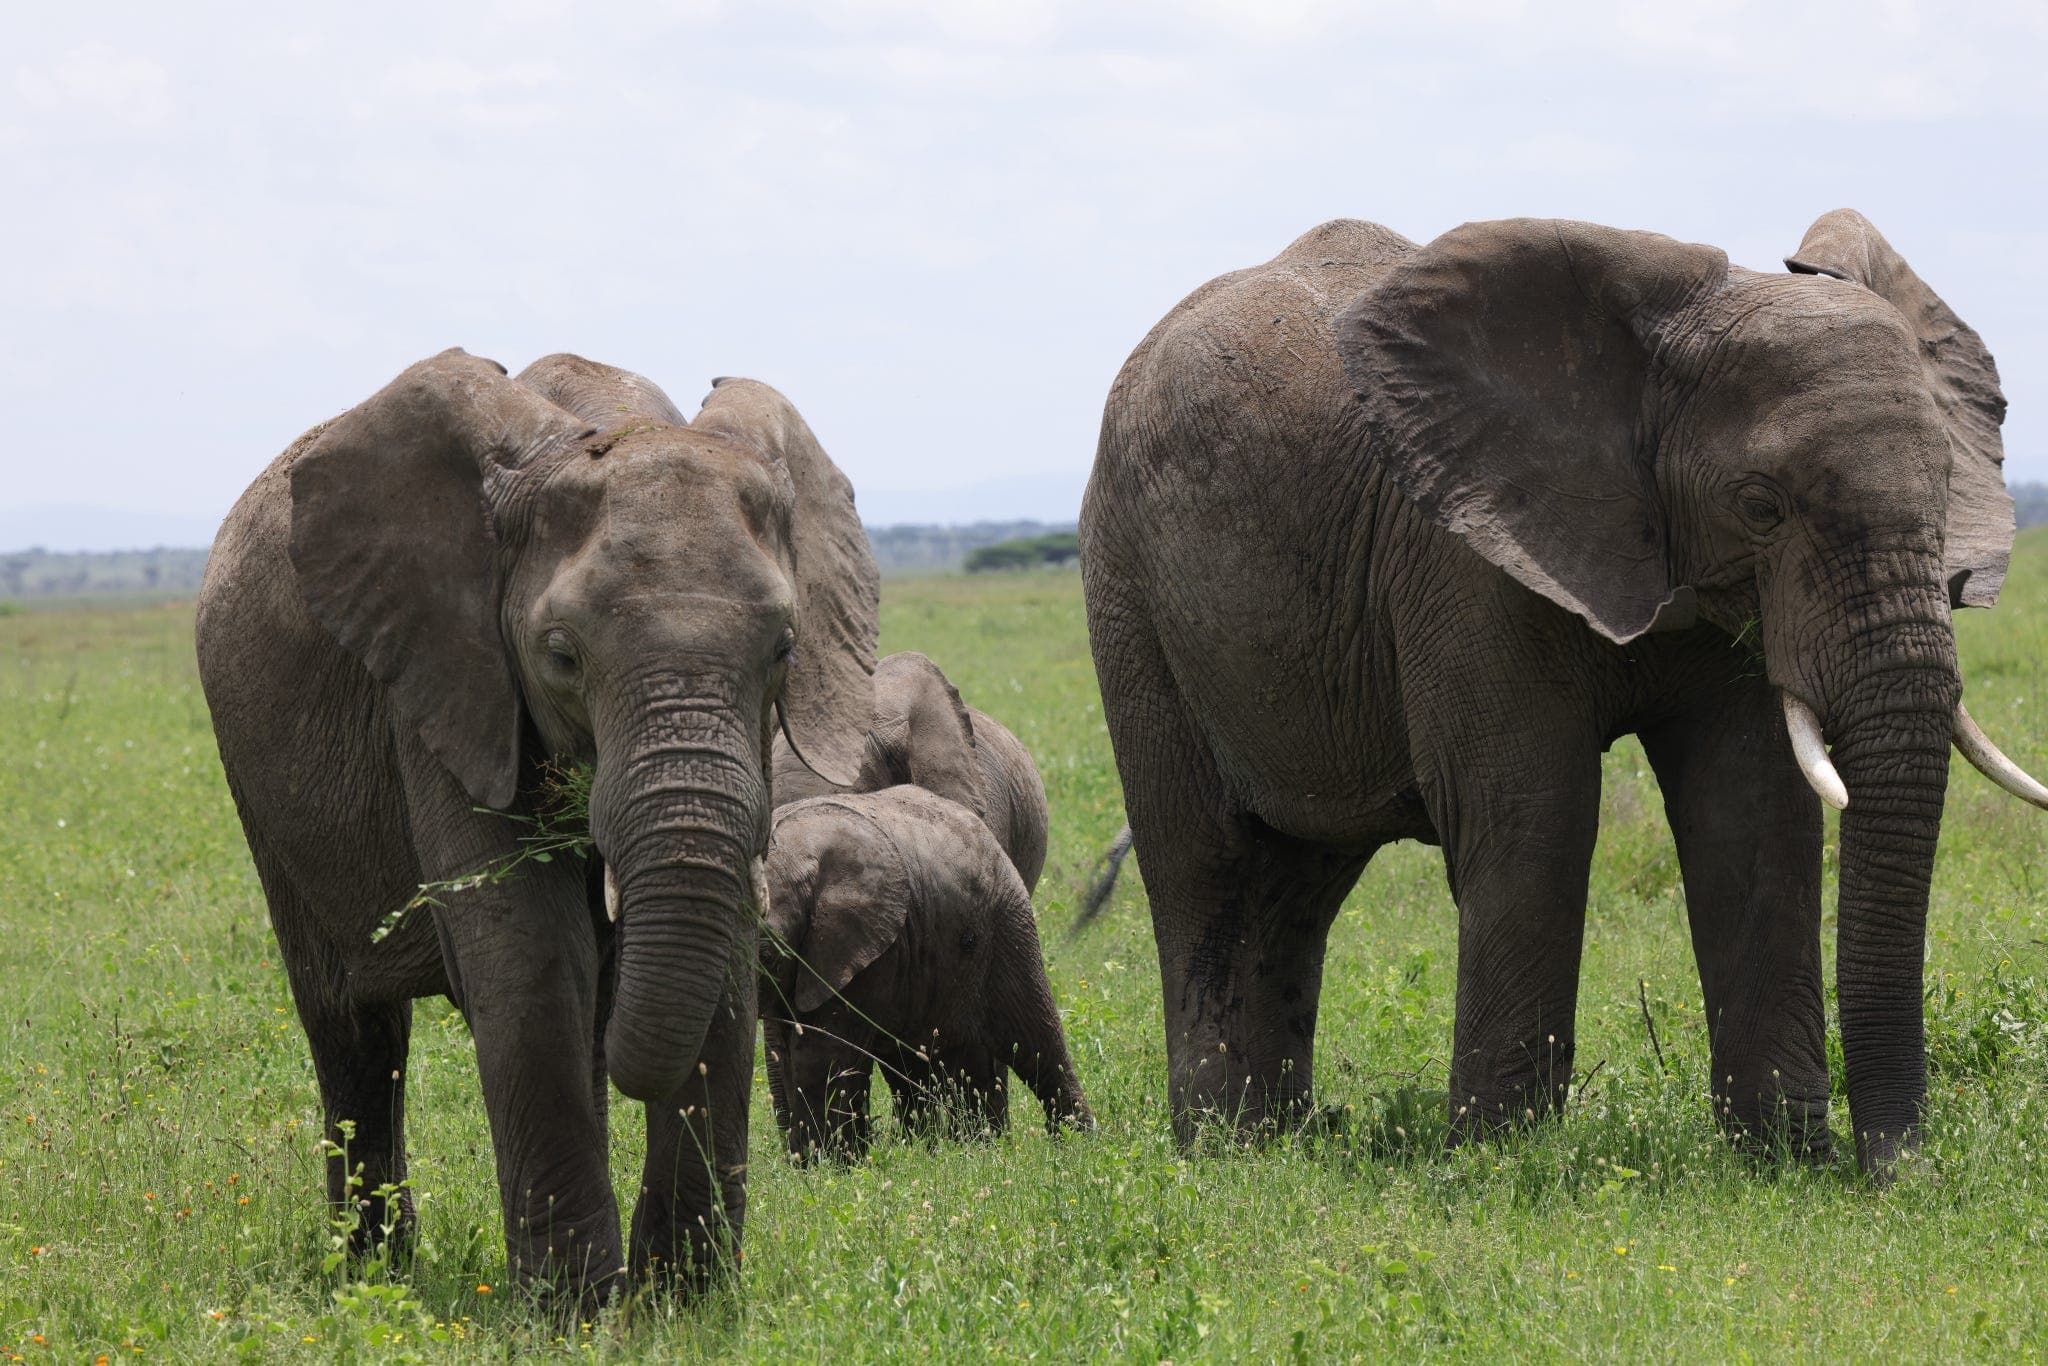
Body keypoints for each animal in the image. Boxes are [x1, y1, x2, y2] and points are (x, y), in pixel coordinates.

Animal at [195, 348, 879, 1298]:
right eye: (561, 656)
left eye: (784, 649)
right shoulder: (445, 676)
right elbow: (529, 955)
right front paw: (576, 1310)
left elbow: (725, 954)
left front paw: (681, 1305)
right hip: (265, 794)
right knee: (355, 1029)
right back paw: (372, 1273)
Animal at [757, 785, 1093, 1160]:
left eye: (767, 956)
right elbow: (790, 1047)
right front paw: (820, 1163)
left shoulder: (857, 951)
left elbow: (820, 1052)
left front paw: (826, 1165)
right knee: (924, 1065)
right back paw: (956, 1150)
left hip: (1007, 923)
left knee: (1034, 1041)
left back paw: (1076, 1144)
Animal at [1079, 211, 2047, 1175]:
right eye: (1760, 506)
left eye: (1946, 489)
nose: (1895, 1171)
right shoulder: (1463, 556)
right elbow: (1535, 811)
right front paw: (1499, 1165)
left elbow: (1753, 810)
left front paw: (1782, 1163)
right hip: (1126, 594)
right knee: (1207, 864)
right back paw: (1224, 1153)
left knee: (1297, 884)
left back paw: (1276, 1141)